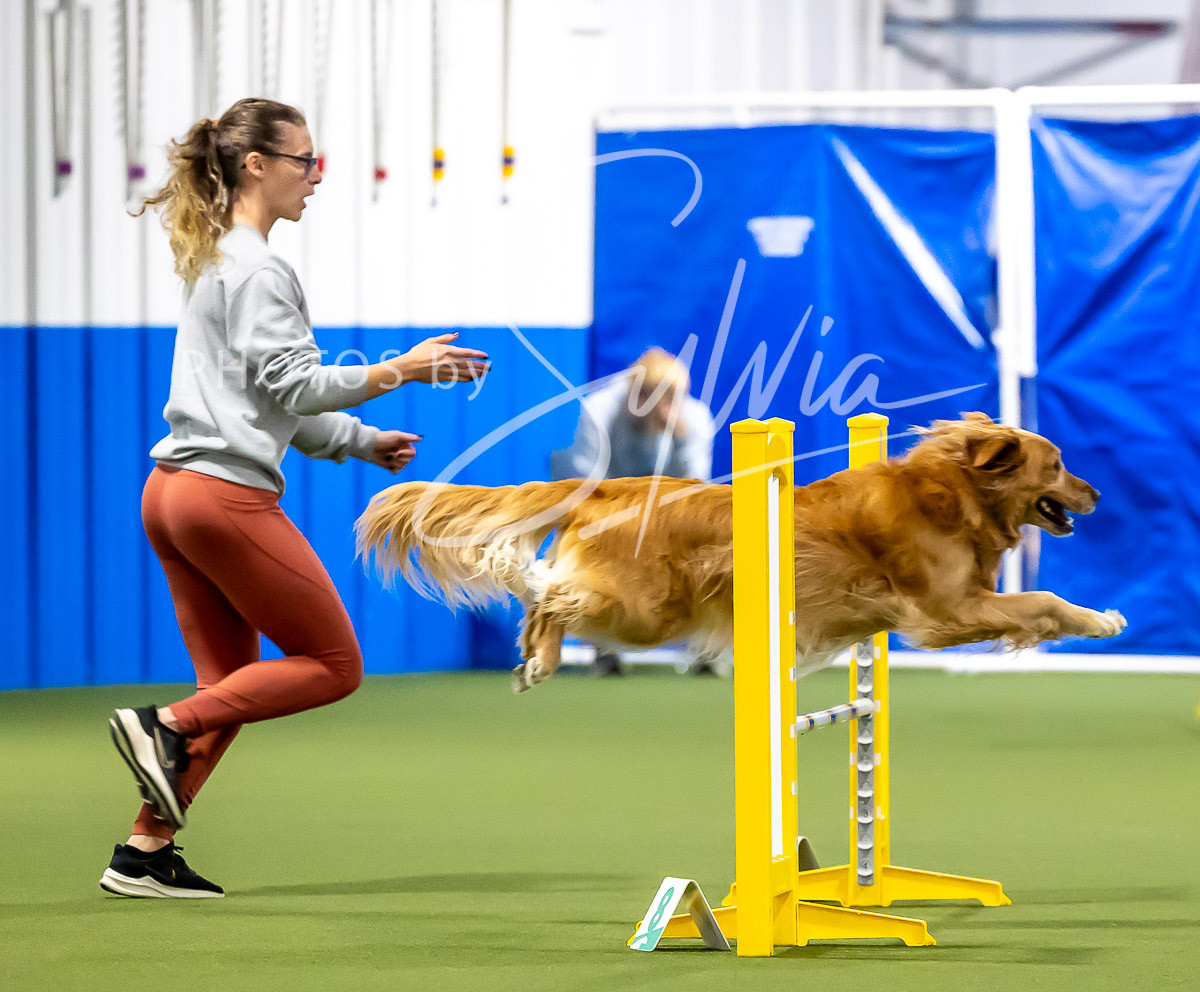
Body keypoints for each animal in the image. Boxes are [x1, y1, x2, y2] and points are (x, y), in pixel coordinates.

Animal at [355, 413, 1126, 692]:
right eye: (1058, 465)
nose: (1097, 490)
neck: (953, 492)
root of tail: (608, 485)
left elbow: (1036, 602)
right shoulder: (947, 610)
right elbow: (1043, 599)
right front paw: (1101, 621)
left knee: (545, 589)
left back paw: (533, 657)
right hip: (646, 609)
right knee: (551, 592)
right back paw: (541, 656)